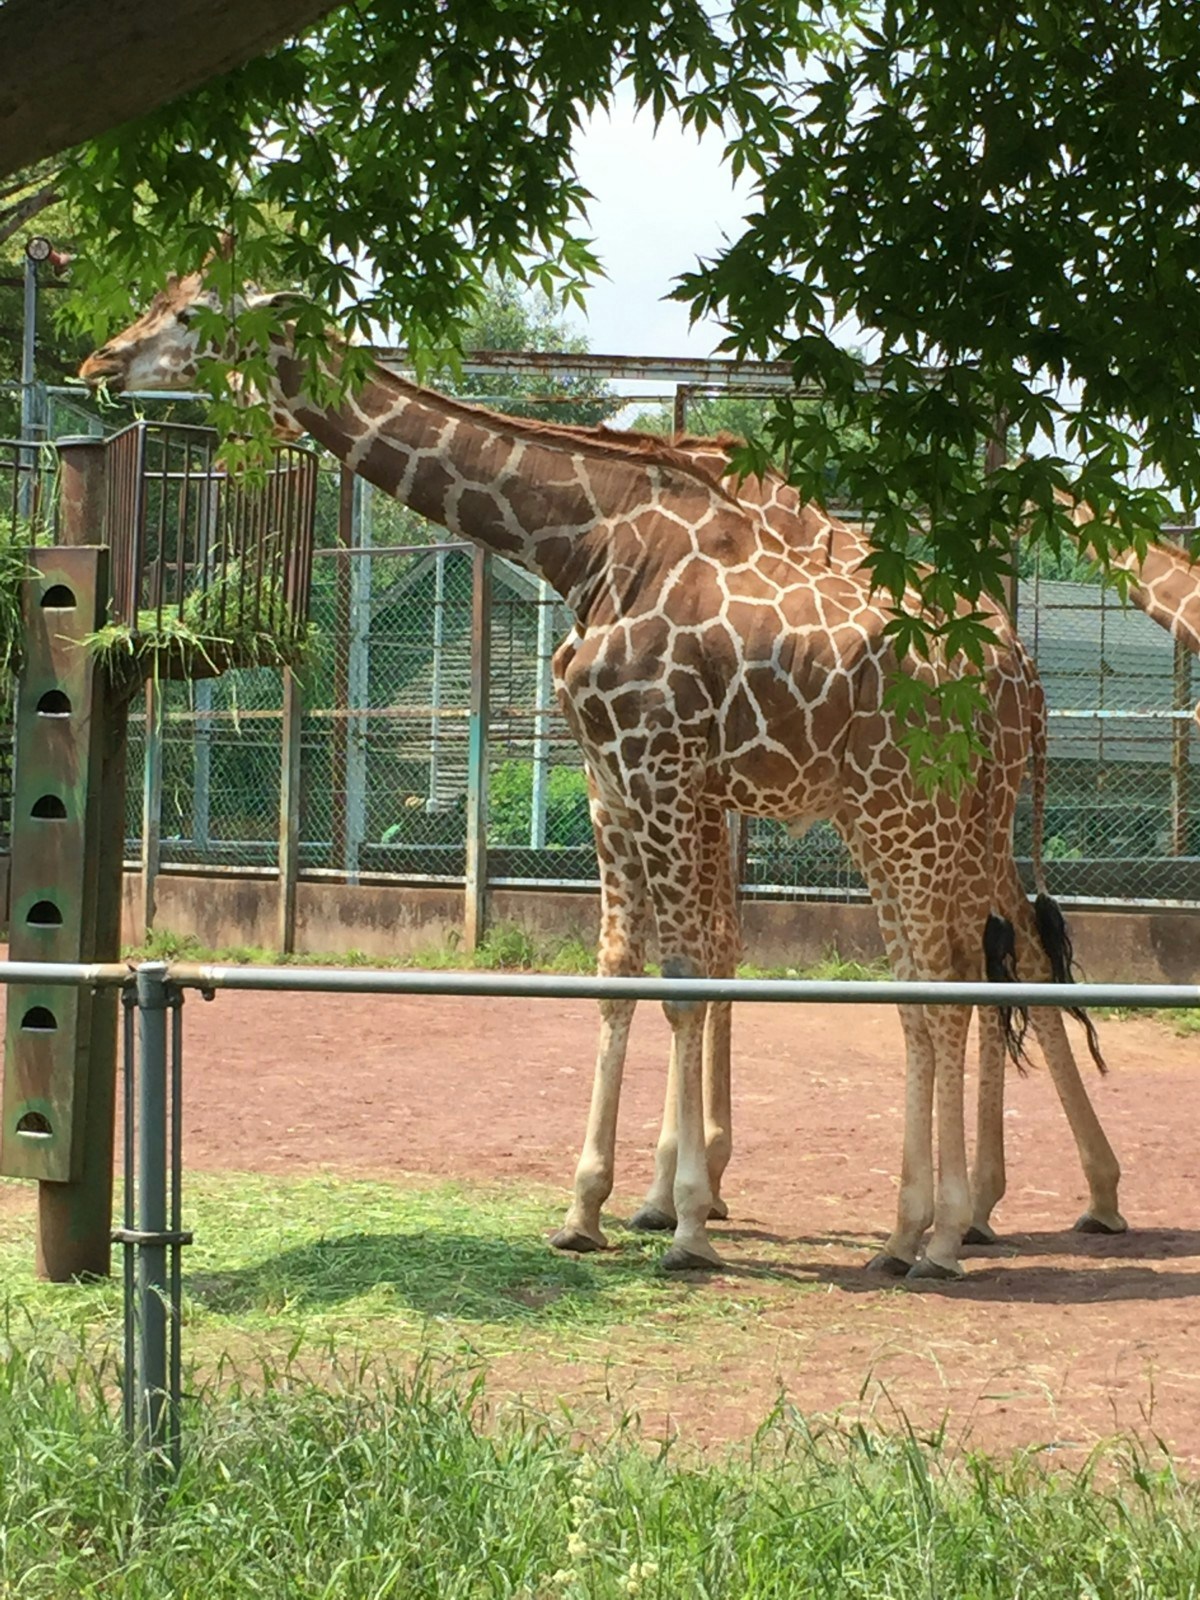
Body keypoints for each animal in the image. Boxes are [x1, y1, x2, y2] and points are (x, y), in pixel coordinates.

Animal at [80, 272, 1126, 1273]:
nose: (100, 360)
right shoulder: (614, 776)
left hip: (903, 812)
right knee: (973, 970)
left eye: (191, 309)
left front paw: (687, 1220)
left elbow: (689, 973)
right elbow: (627, 969)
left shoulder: (661, 764)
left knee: (947, 981)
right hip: (945, 814)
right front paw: (593, 1206)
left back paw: (957, 1226)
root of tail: (1015, 671)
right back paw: (947, 1222)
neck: (580, 541)